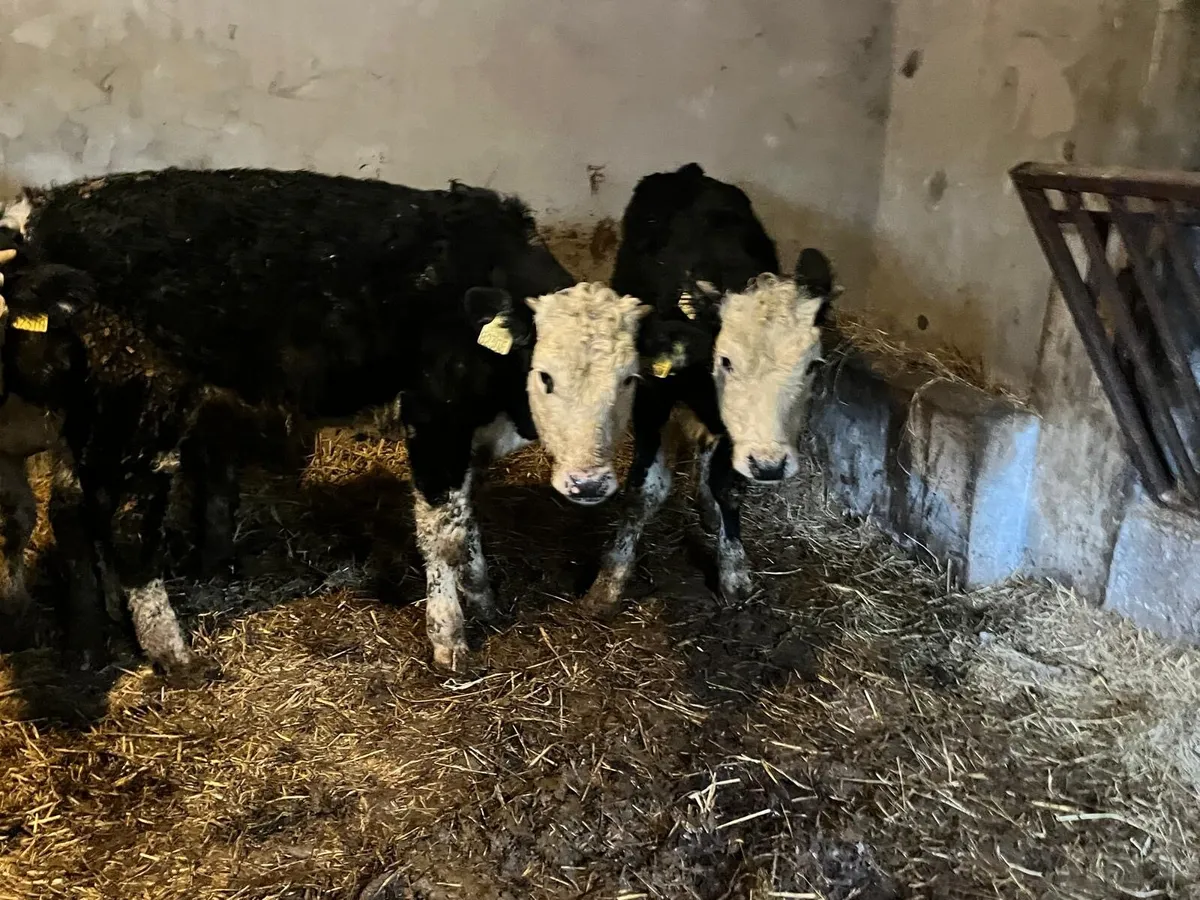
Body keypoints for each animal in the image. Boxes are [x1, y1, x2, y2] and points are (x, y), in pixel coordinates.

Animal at [0, 168, 707, 675]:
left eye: (630, 380)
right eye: (545, 376)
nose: (589, 485)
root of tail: (49, 213)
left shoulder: (467, 430)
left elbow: (469, 518)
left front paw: (483, 596)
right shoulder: (432, 415)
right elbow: (444, 532)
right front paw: (450, 639)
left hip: (92, 413)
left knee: (77, 509)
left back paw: (98, 633)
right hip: (143, 403)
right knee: (125, 526)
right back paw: (172, 654)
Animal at [582, 163, 837, 616]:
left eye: (812, 365)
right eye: (727, 360)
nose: (770, 466)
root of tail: (689, 172)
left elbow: (728, 487)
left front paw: (733, 569)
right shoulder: (652, 399)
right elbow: (645, 490)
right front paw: (610, 577)